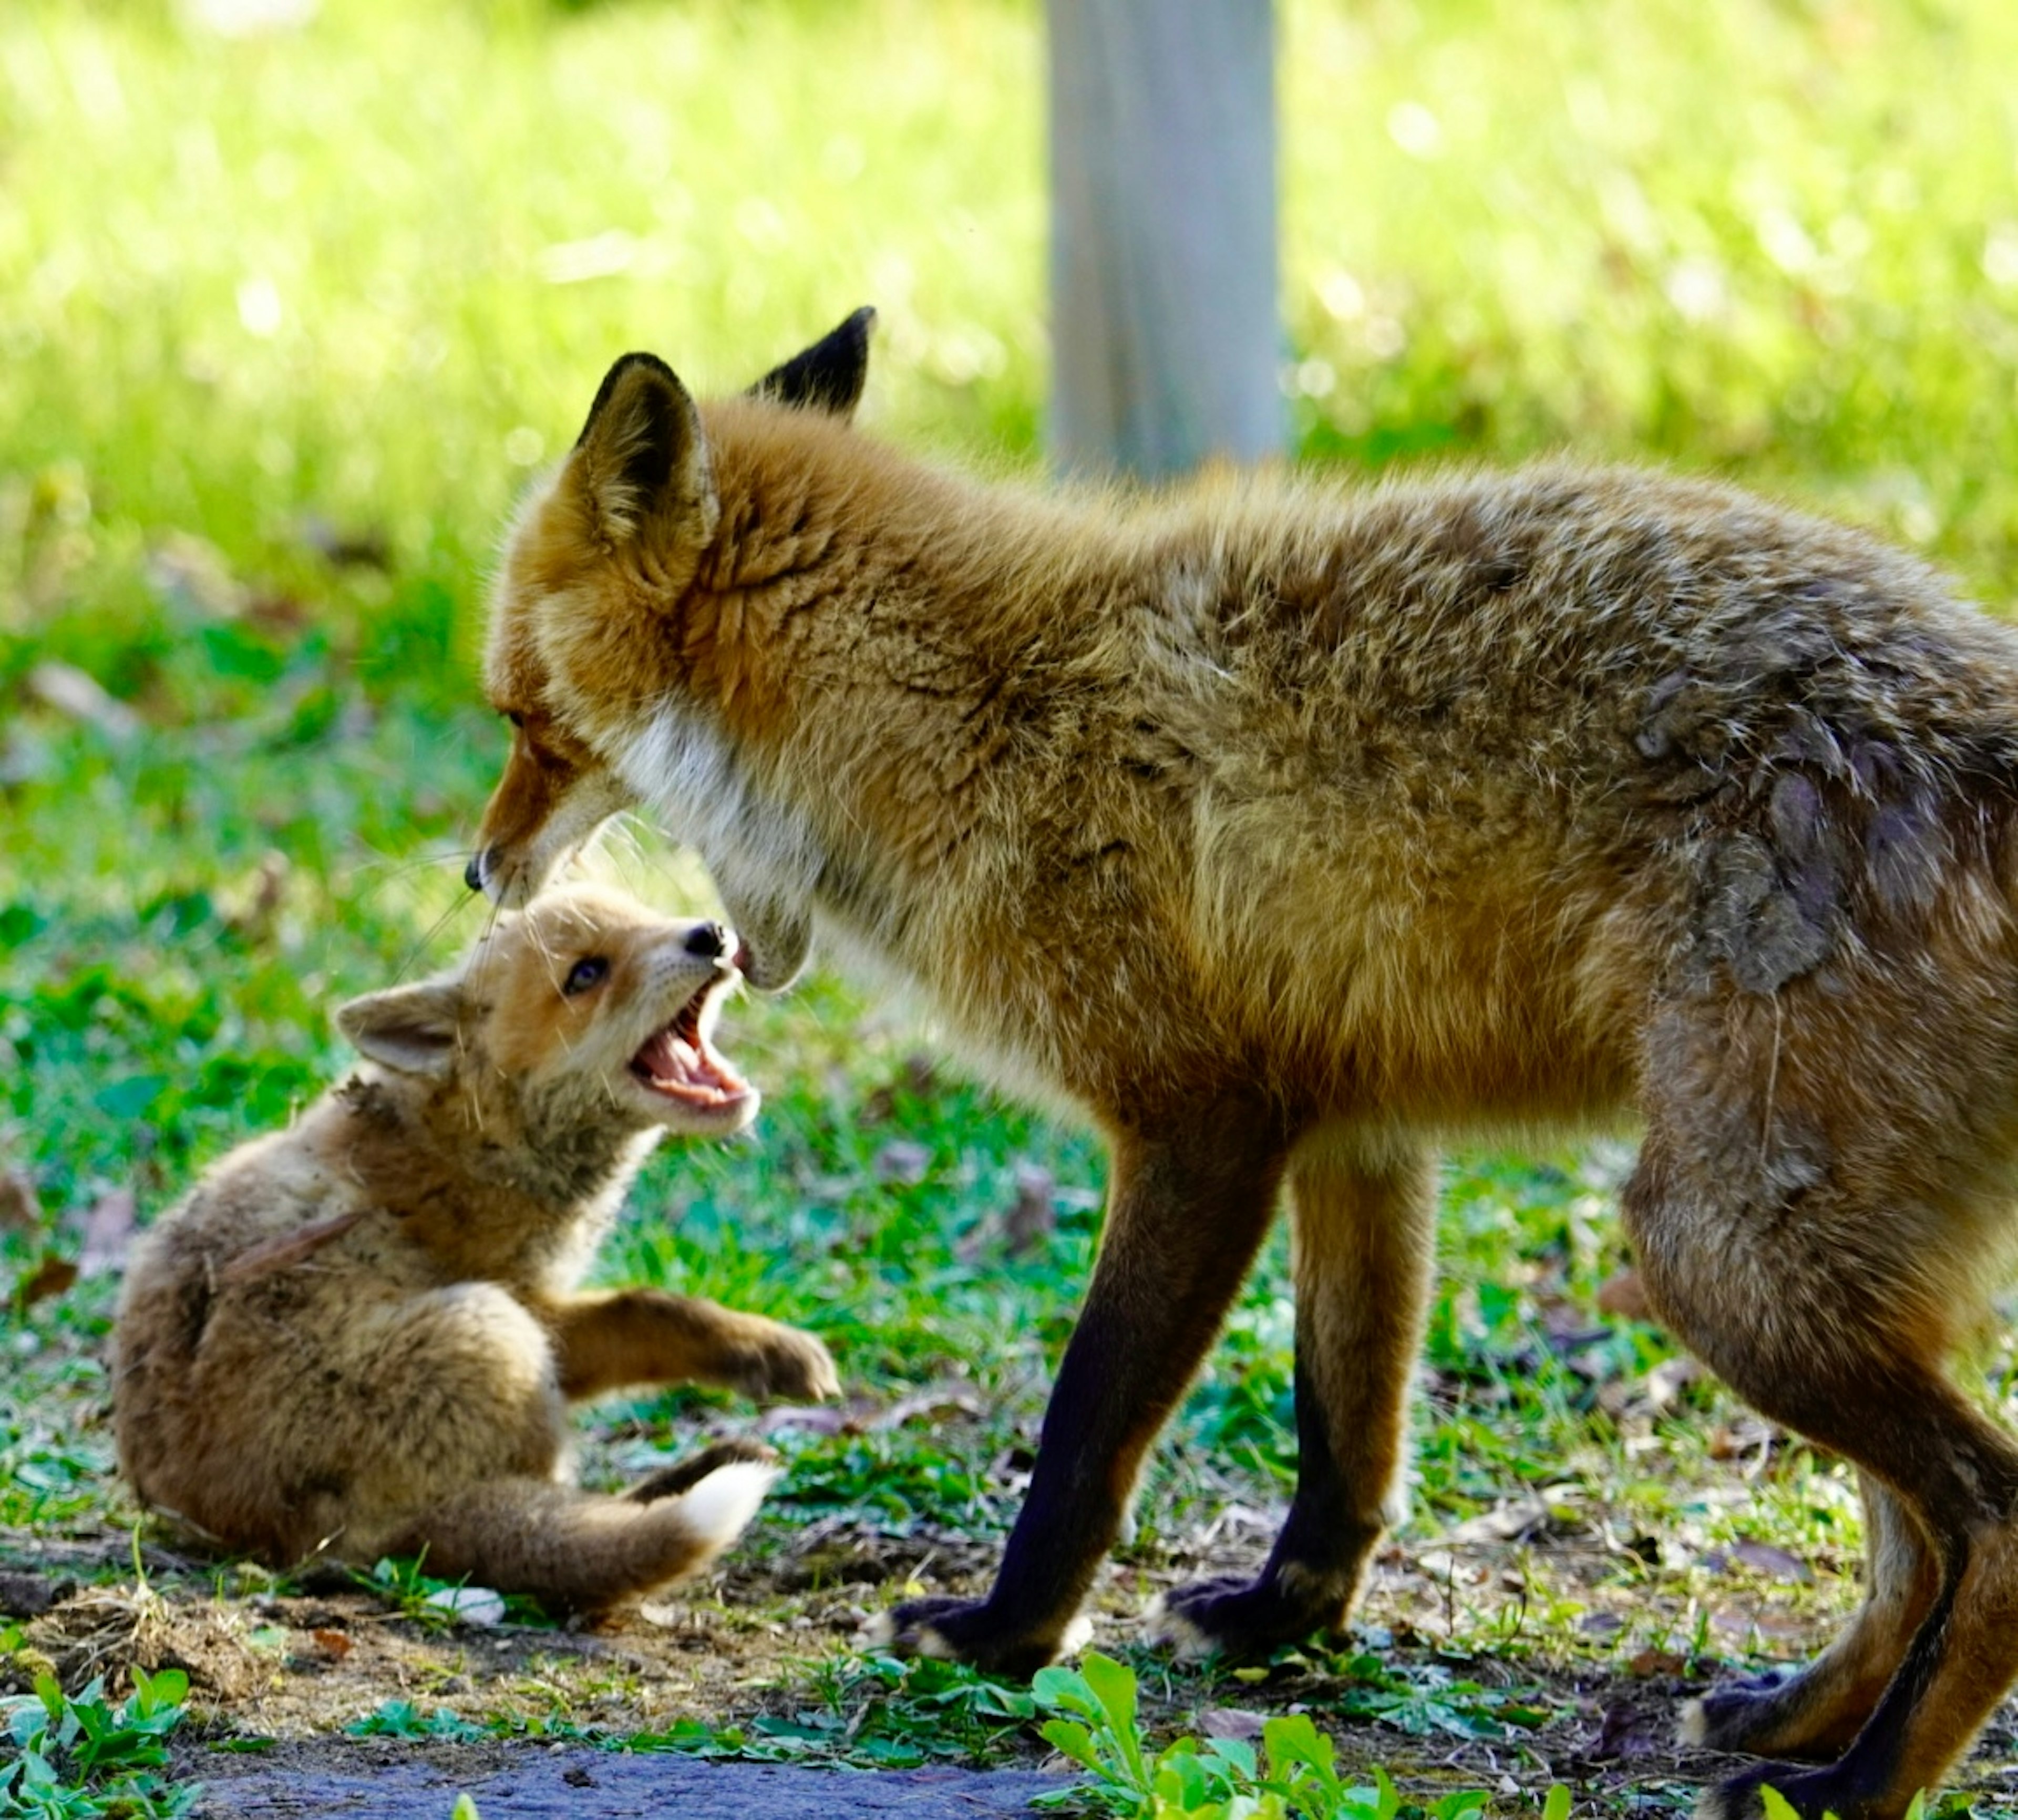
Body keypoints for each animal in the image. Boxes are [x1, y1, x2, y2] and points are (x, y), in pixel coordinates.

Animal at [112, 884, 835, 1614]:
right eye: (586, 973)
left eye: (645, 914)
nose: (712, 935)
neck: (474, 1139)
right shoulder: (534, 1303)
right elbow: (650, 1308)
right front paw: (764, 1348)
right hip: (495, 1332)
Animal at [472, 316, 2018, 1820]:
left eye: (522, 719)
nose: (478, 872)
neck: (975, 712)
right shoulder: (1353, 1127)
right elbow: (1345, 1422)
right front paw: (1288, 1622)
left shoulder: (1196, 1124)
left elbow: (1084, 1427)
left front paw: (1005, 1637)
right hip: (1816, 1264)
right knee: (1910, 1547)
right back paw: (1803, 1720)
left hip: (1714, 1252)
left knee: (1987, 1519)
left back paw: (1863, 1785)